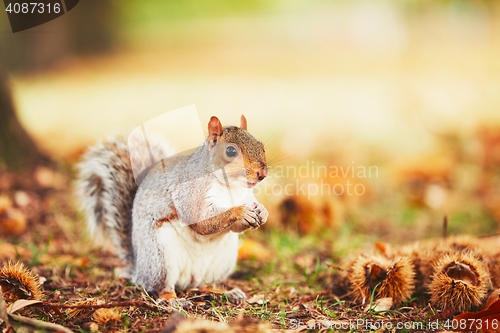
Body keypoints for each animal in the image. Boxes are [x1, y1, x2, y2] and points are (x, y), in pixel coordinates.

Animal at [75, 115, 268, 304]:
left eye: (262, 146)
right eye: (230, 151)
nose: (262, 174)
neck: (230, 187)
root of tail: (138, 269)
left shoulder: (246, 197)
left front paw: (263, 212)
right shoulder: (191, 194)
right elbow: (201, 221)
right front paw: (240, 212)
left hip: (222, 261)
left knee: (204, 285)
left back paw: (226, 292)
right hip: (161, 259)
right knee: (161, 288)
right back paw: (173, 300)